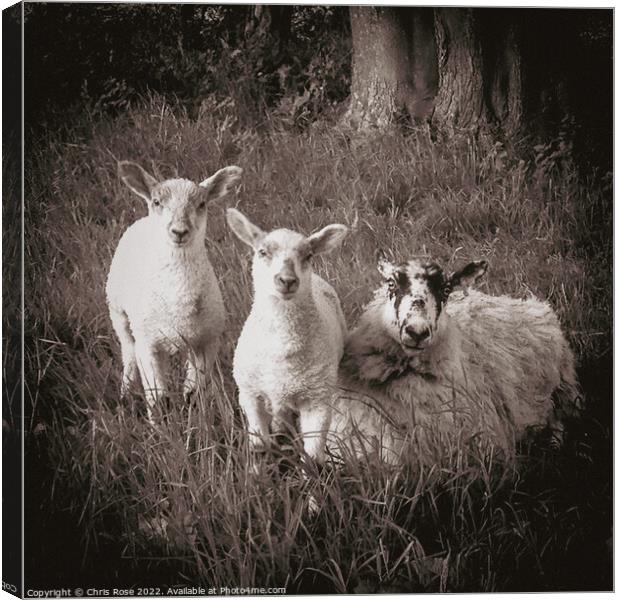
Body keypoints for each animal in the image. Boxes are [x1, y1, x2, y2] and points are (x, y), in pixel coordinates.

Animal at [106, 159, 242, 422]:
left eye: (202, 204)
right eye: (157, 202)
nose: (179, 231)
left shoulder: (206, 342)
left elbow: (194, 393)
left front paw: (195, 422)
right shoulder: (147, 343)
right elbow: (158, 400)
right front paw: (161, 427)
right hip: (118, 312)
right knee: (129, 353)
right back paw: (125, 394)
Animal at [225, 209, 348, 466]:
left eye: (308, 255)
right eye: (262, 252)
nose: (287, 280)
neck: (282, 351)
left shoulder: (318, 400)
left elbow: (312, 459)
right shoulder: (250, 394)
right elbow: (259, 446)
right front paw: (257, 472)